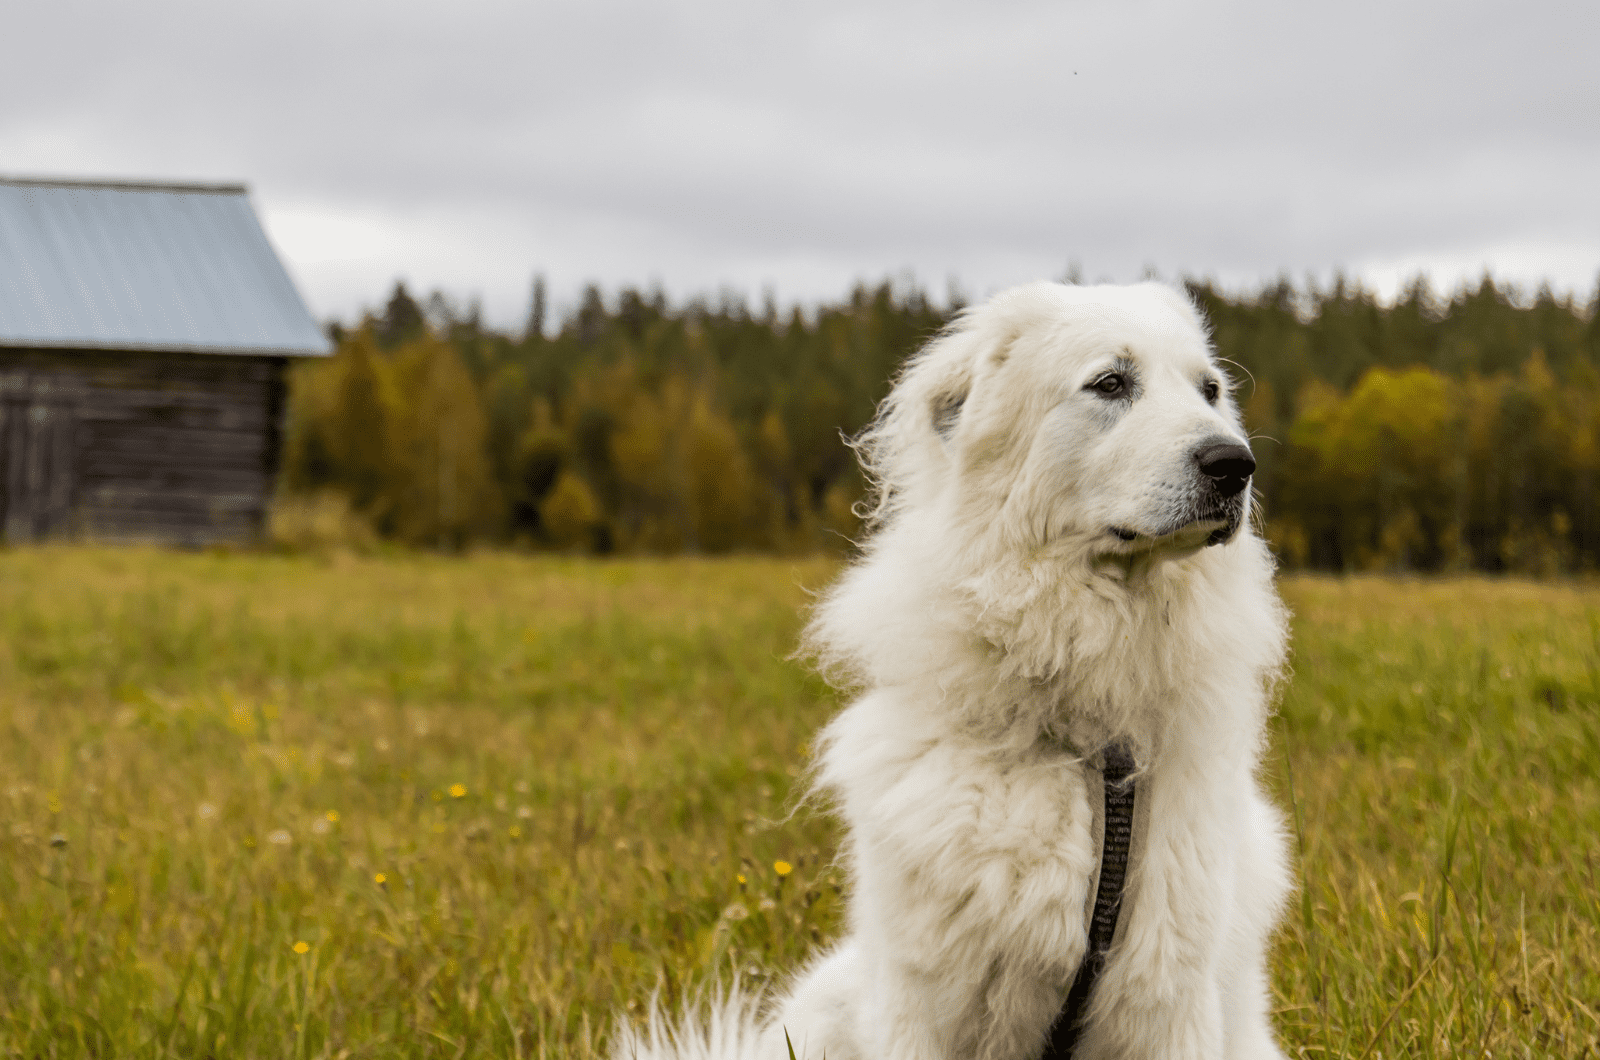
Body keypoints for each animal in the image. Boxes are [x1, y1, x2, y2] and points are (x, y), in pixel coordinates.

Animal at [617, 281, 1292, 1060]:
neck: (1081, 741)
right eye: (1111, 383)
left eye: (1210, 391)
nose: (1234, 464)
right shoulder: (924, 998)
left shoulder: (1168, 999)